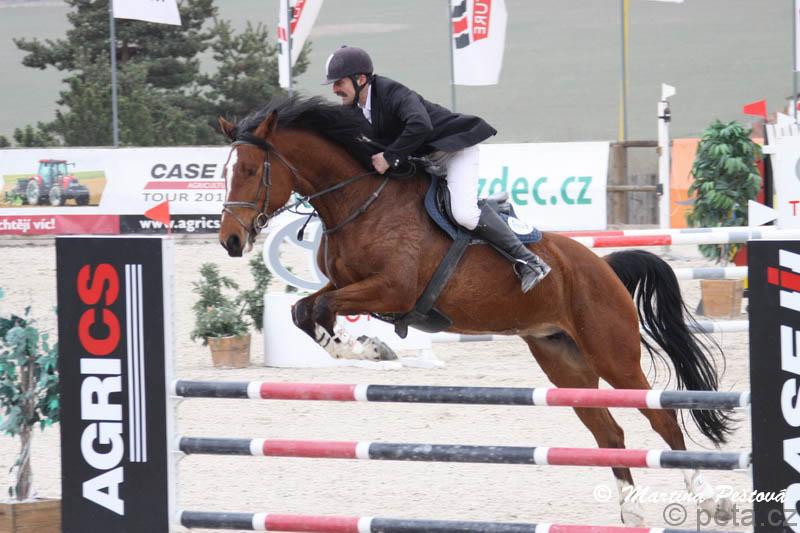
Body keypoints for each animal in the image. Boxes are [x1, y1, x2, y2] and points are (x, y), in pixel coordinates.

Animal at [217, 95, 734, 525]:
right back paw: (630, 512)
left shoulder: (391, 291)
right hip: (563, 360)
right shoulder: (348, 285)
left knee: (661, 417)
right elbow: (305, 310)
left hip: (612, 353)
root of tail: (602, 267)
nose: (231, 241)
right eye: (224, 171)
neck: (359, 202)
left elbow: (320, 306)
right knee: (608, 432)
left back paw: (708, 501)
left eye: (250, 170)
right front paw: (361, 346)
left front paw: (370, 349)